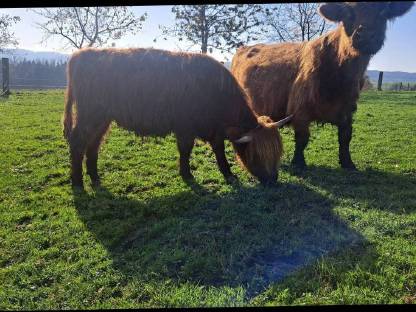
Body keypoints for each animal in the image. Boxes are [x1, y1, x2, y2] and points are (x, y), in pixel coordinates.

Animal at [64, 46, 292, 188]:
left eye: (277, 152)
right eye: (257, 153)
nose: (273, 180)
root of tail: (80, 54)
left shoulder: (214, 128)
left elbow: (219, 150)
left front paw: (228, 174)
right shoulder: (185, 127)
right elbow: (186, 150)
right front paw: (187, 174)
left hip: (102, 119)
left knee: (94, 144)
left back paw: (95, 178)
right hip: (90, 115)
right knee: (78, 142)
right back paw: (77, 182)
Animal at [232, 1, 414, 169]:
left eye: (383, 12)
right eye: (349, 13)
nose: (367, 34)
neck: (340, 79)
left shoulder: (348, 109)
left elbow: (345, 137)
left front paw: (348, 163)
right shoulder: (300, 108)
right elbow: (302, 137)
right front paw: (298, 163)